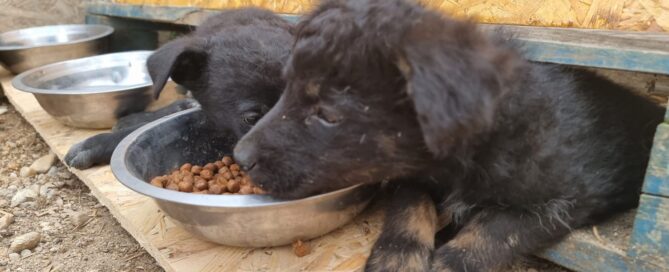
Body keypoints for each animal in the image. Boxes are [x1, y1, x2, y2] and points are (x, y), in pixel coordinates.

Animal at [235, 1, 664, 270]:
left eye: (326, 115)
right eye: (287, 89)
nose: (240, 157)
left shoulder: (567, 198)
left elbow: (493, 232)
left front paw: (447, 263)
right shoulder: (412, 174)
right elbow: (409, 209)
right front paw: (396, 256)